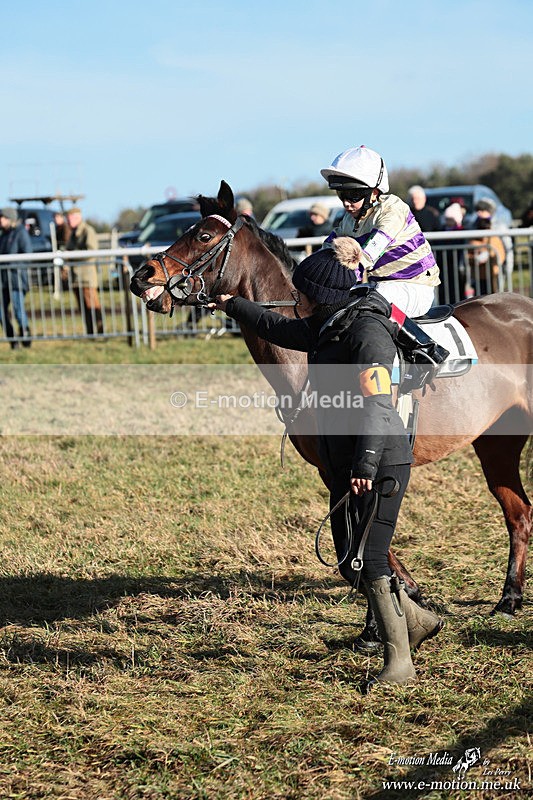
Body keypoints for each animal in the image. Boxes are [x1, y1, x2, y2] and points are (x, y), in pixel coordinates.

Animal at [130, 180, 532, 642]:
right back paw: (509, 599)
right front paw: (387, 615)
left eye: (203, 235)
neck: (314, 345)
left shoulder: (365, 467)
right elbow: (355, 554)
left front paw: (397, 609)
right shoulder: (333, 470)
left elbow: (364, 549)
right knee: (519, 514)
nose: (142, 276)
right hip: (497, 443)